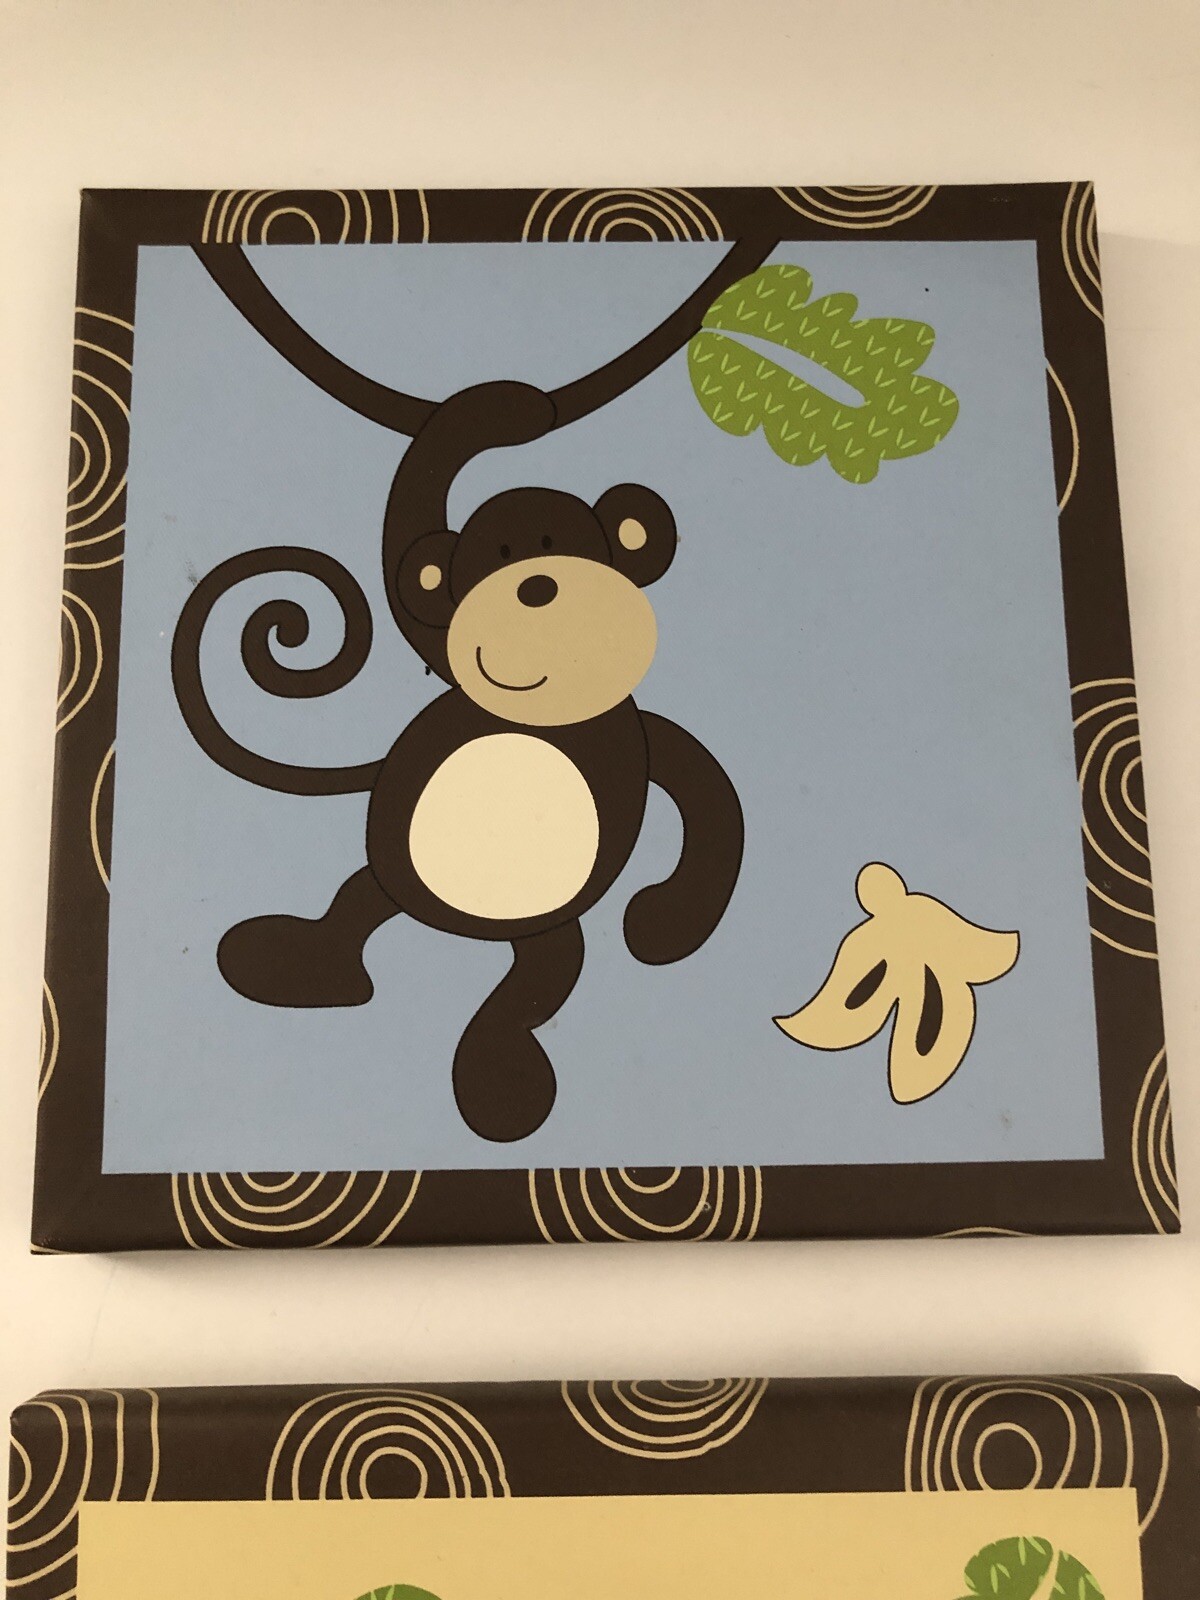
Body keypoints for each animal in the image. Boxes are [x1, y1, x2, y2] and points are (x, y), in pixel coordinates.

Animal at [172, 231, 777, 1142]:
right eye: (490, 558)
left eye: (572, 545)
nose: (537, 584)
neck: (543, 719)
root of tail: (458, 927)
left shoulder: (641, 739)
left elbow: (706, 797)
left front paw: (661, 922)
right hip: (392, 872)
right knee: (356, 904)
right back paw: (294, 962)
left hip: (546, 934)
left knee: (533, 986)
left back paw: (501, 1083)